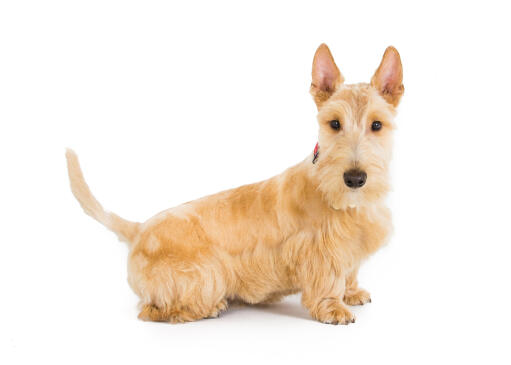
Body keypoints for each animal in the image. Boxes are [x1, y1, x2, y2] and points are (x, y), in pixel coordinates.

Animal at [67, 44, 404, 322]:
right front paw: (334, 308)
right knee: (151, 309)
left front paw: (352, 292)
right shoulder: (318, 252)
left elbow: (349, 272)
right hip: (203, 276)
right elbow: (327, 280)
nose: (355, 178)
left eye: (377, 125)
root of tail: (138, 230)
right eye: (334, 124)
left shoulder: (348, 250)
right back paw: (206, 308)